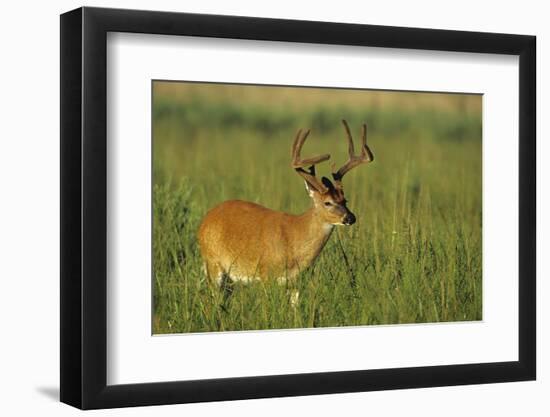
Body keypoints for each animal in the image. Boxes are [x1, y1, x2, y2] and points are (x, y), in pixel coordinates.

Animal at [198, 118, 376, 284]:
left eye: (345, 200)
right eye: (327, 202)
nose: (350, 217)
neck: (294, 238)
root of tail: (205, 220)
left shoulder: (296, 281)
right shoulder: (265, 273)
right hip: (213, 265)